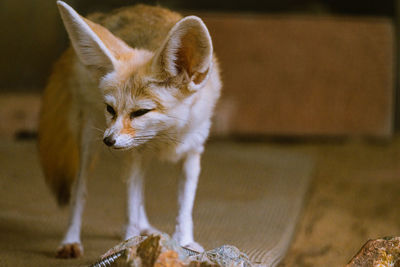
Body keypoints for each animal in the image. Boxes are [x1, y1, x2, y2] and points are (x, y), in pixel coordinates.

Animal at [38, 1, 220, 258]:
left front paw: (184, 241)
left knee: (140, 192)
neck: (167, 137)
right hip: (88, 141)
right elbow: (130, 206)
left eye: (141, 112)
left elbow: (184, 209)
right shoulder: (133, 154)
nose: (108, 141)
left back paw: (146, 229)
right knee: (79, 192)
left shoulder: (191, 155)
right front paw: (129, 243)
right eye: (110, 109)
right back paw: (71, 239)